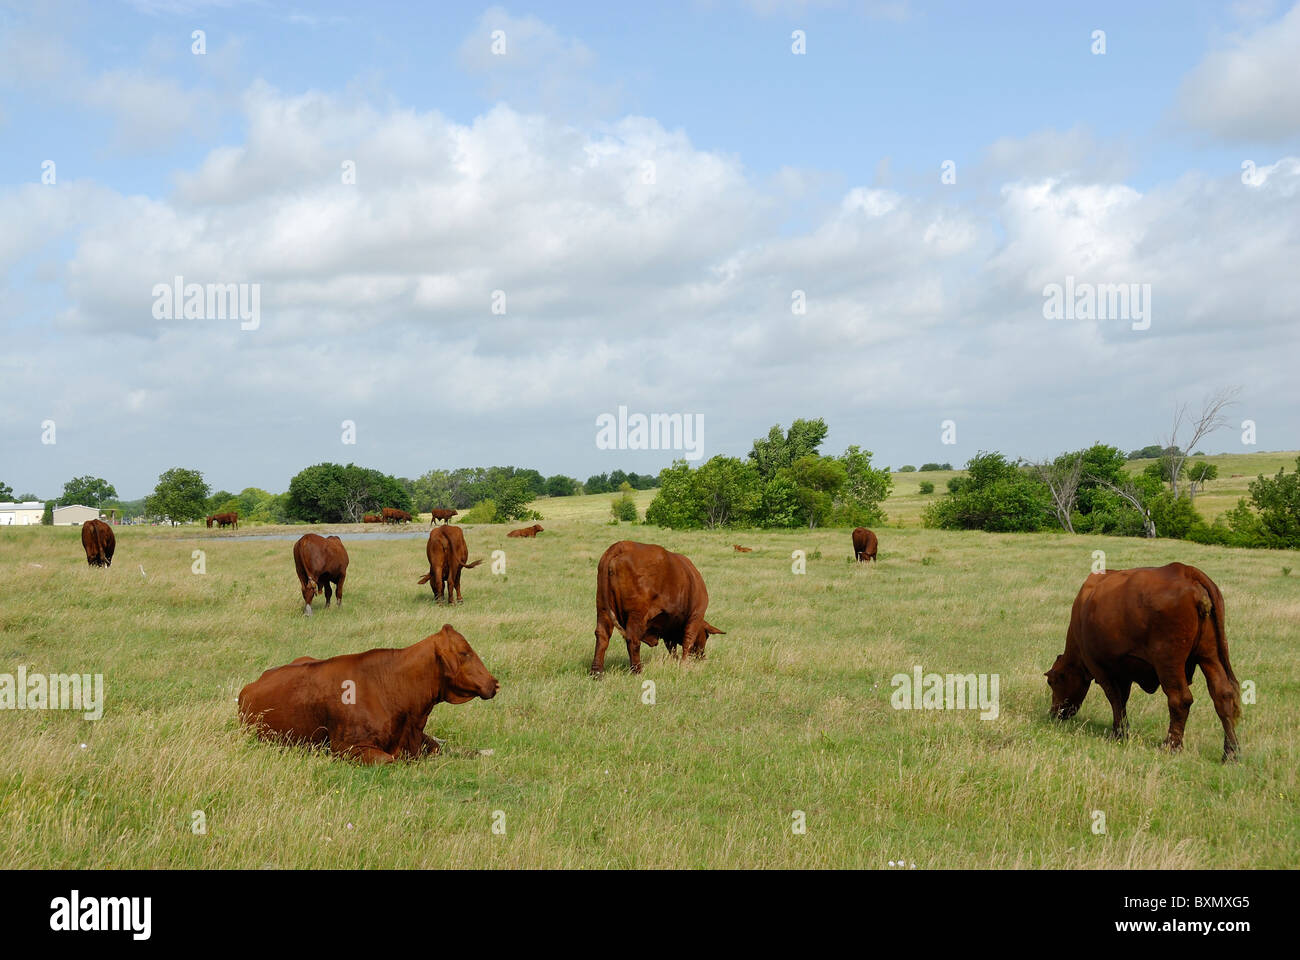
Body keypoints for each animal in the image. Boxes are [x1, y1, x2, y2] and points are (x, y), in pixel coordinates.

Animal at [236, 621, 499, 764]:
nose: (494, 683)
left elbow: (445, 747)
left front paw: (486, 751)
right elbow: (392, 758)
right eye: (464, 652)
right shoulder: (347, 749)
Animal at [595, 538, 728, 671]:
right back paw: (637, 670)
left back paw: (597, 671)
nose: (702, 656)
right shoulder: (696, 615)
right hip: (636, 613)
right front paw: (684, 664)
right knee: (632, 639)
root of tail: (622, 545)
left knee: (602, 636)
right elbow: (688, 641)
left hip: (602, 608)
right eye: (707, 636)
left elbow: (672, 648)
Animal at [1040, 556, 1242, 759]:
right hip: (1210, 655)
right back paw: (1231, 753)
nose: (1053, 713)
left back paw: (1171, 745)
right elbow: (1122, 699)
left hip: (1169, 662)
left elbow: (1115, 699)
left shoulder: (1101, 669)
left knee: (1180, 699)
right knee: (1223, 695)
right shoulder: (1123, 671)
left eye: (1052, 682)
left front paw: (1118, 733)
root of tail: (1185, 571)